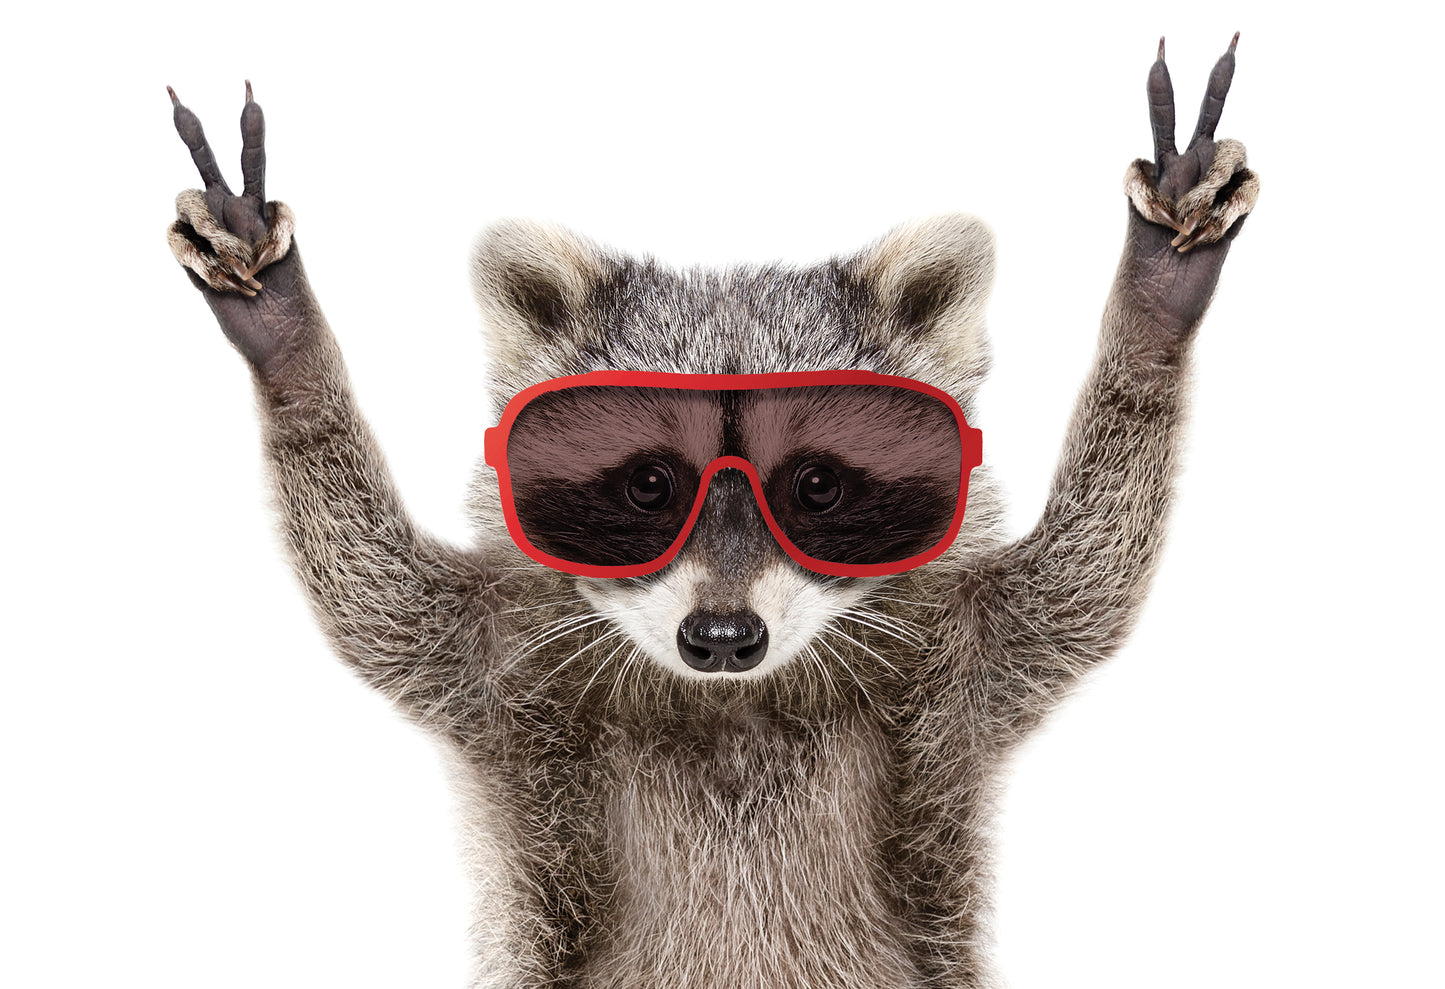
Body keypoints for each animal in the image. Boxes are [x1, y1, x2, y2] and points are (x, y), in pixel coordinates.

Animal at [166, 38, 1257, 989]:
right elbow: (375, 594)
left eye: (815, 487)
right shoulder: (499, 673)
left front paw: (1151, 311)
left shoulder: (966, 669)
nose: (723, 637)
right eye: (649, 485)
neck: (736, 705)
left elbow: (1083, 578)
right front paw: (289, 348)